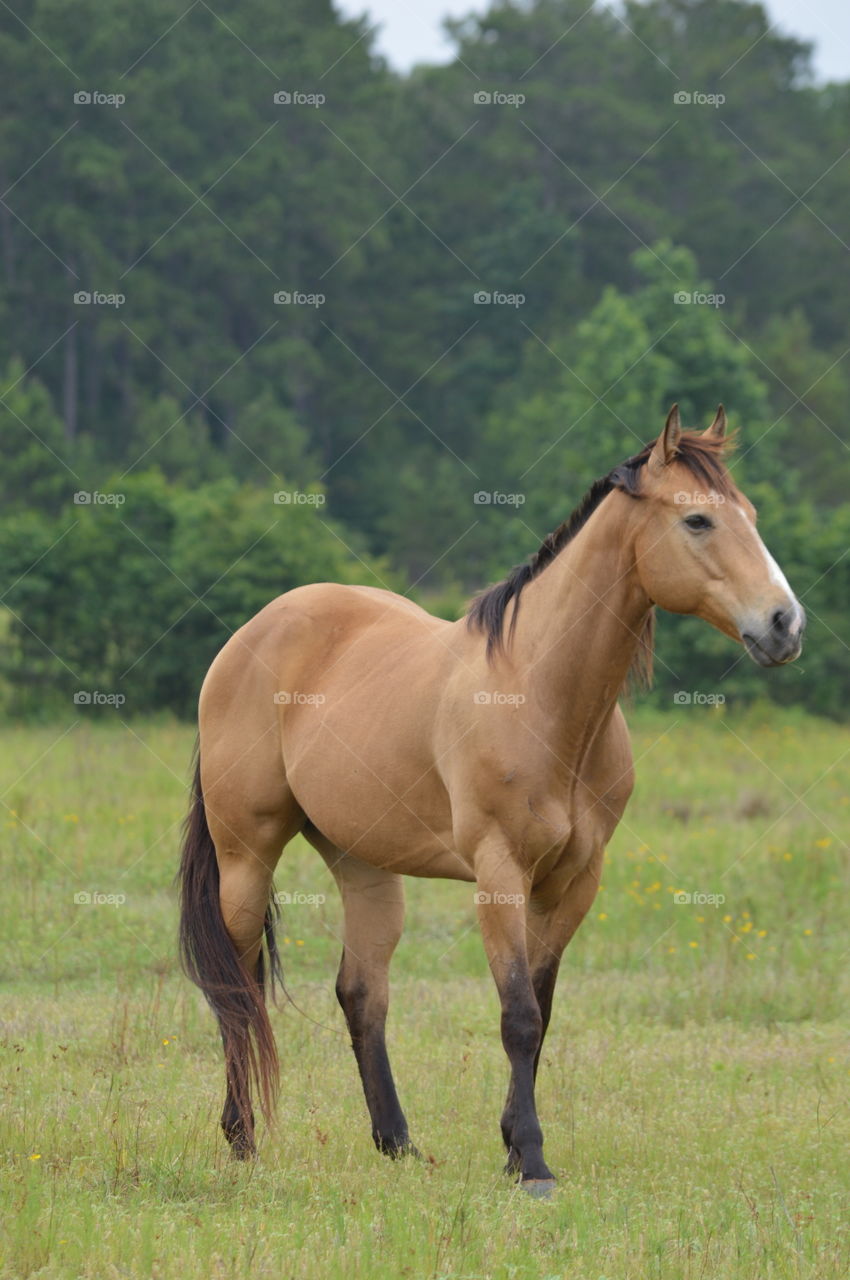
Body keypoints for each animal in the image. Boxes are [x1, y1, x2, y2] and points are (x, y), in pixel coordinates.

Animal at [178, 405, 805, 1193]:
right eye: (697, 520)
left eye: (748, 514)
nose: (785, 624)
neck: (539, 696)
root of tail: (247, 638)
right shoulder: (500, 875)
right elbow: (518, 1017)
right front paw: (531, 1161)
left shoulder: (573, 883)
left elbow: (542, 1011)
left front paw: (512, 1147)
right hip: (246, 854)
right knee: (239, 992)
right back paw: (243, 1141)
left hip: (363, 863)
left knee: (362, 993)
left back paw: (397, 1143)